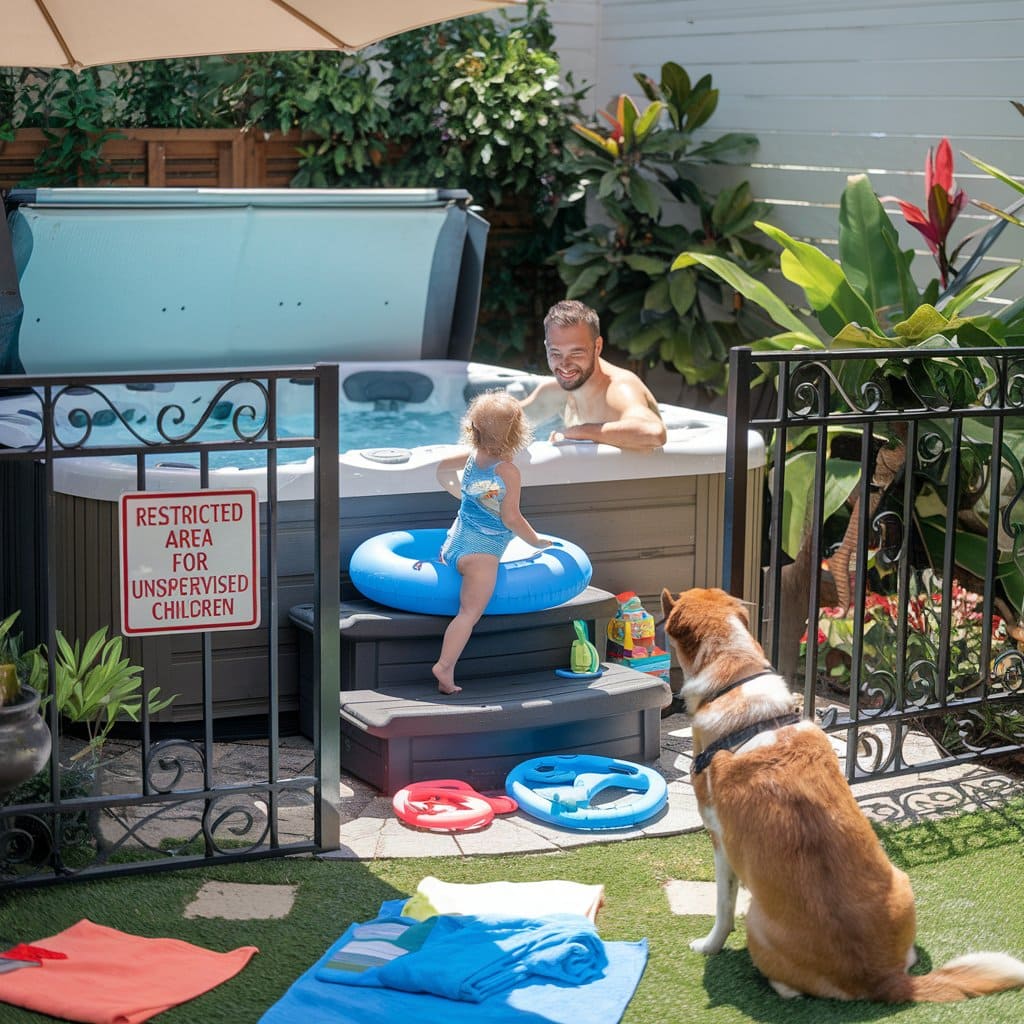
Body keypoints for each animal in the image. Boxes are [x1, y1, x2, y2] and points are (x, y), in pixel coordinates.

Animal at [659, 585, 1024, 999]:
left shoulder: (721, 843)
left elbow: (722, 907)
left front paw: (708, 946)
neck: (733, 676)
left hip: (756, 923)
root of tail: (884, 979)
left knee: (788, 987)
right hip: (902, 882)